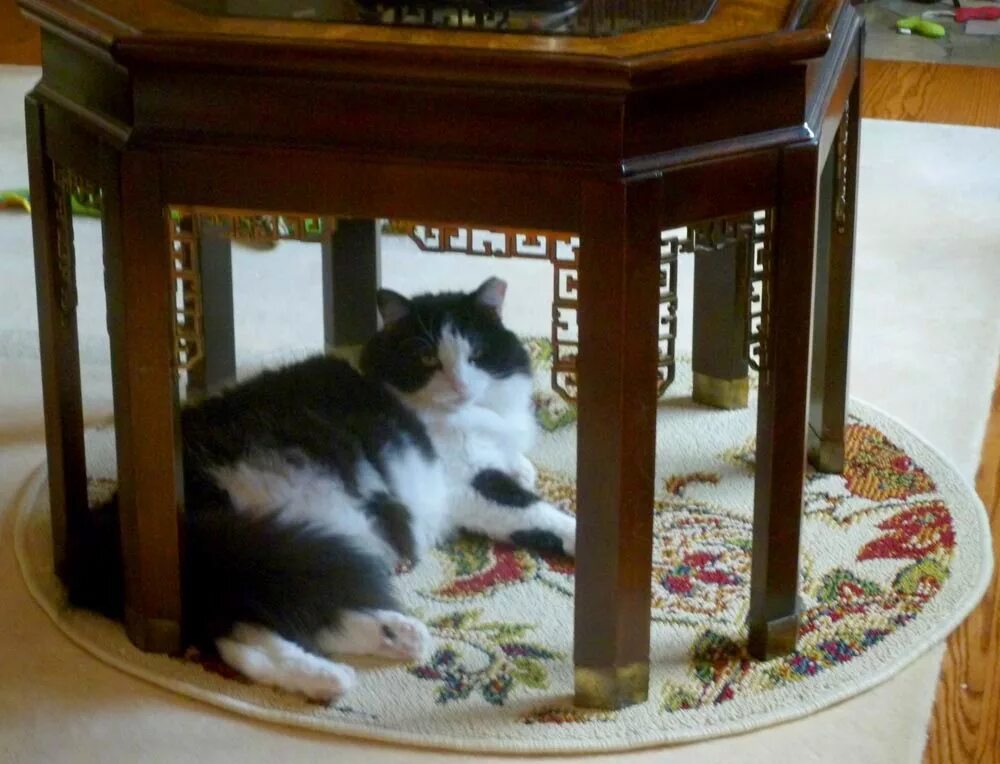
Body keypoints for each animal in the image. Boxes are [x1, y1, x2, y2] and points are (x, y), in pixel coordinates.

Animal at [70, 278, 576, 700]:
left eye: (475, 354)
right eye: (427, 357)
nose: (459, 384)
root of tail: (107, 520)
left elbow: (522, 478)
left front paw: (524, 466)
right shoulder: (467, 479)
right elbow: (542, 513)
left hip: (288, 551)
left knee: (250, 627)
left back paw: (382, 646)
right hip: (267, 539)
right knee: (249, 633)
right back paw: (342, 672)